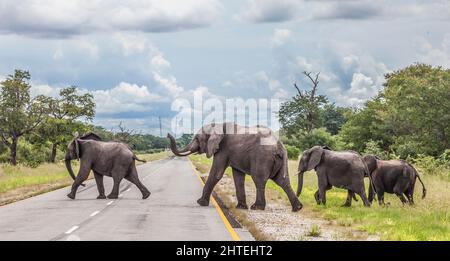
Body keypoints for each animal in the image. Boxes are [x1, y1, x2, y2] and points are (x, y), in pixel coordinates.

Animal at [168, 122, 302, 211]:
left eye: (197, 138)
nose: (168, 134)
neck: (217, 125)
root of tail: (279, 145)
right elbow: (238, 177)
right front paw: (241, 207)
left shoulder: (223, 149)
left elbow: (216, 174)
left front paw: (200, 203)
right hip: (280, 160)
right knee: (283, 181)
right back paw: (297, 208)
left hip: (262, 157)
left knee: (259, 179)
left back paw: (257, 207)